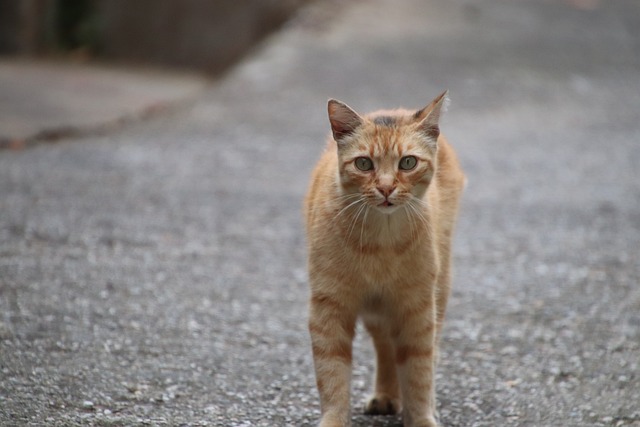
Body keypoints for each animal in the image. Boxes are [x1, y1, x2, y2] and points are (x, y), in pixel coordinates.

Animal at [304, 91, 464, 427]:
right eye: (364, 163)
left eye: (408, 162)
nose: (387, 187)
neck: (381, 242)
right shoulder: (329, 307)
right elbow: (332, 373)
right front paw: (334, 420)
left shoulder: (417, 308)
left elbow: (419, 371)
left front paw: (422, 417)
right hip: (378, 311)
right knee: (386, 348)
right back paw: (387, 395)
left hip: (437, 292)